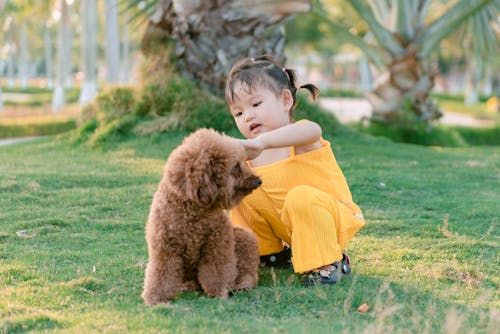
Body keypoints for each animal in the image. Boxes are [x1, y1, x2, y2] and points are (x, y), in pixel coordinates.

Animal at [141, 128, 262, 306]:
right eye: (235, 166)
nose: (258, 180)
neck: (193, 210)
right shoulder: (165, 249)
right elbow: (161, 275)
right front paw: (155, 298)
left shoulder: (217, 245)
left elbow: (216, 271)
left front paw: (219, 292)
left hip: (243, 236)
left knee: (248, 272)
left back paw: (242, 285)